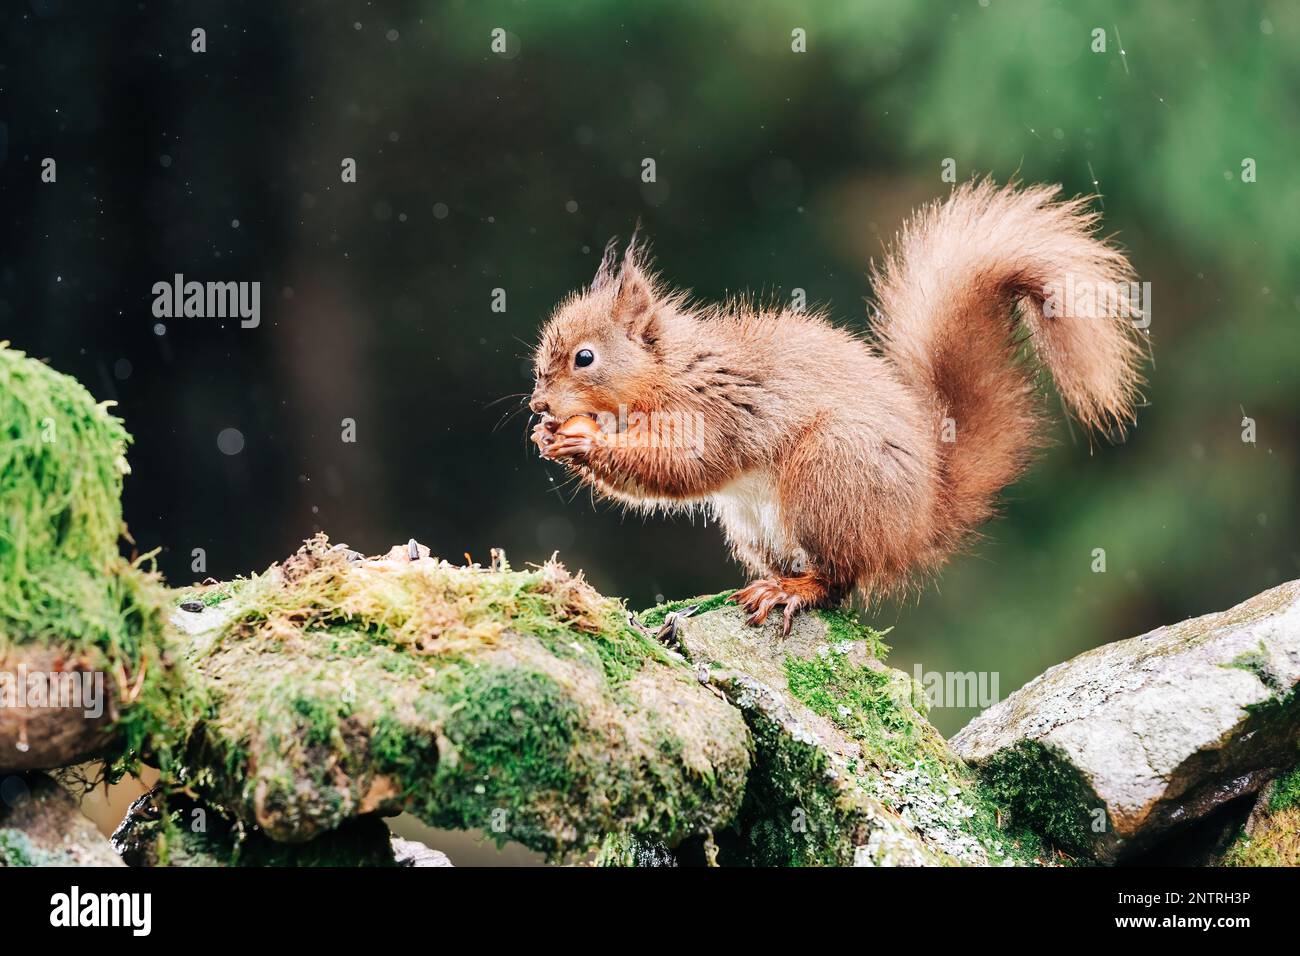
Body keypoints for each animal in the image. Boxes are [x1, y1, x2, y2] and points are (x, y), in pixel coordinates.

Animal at [529, 180, 1145, 634]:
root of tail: (920, 521)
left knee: (839, 581)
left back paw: (791, 592)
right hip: (755, 525)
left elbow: (682, 466)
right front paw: (547, 437)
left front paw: (583, 439)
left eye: (584, 357)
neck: (672, 371)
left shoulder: (718, 408)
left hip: (829, 475)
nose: (537, 404)